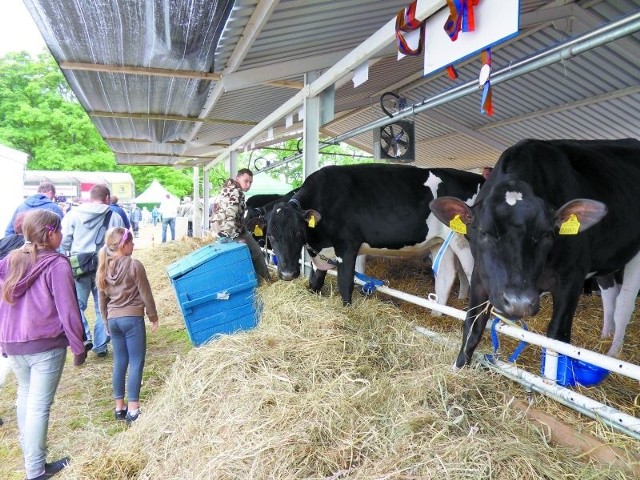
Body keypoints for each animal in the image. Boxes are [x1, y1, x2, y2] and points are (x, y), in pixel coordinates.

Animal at [260, 165, 484, 306]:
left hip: (463, 242)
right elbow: (315, 283)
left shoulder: (347, 246)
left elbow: (345, 284)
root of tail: (478, 177)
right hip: (439, 243)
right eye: (270, 236)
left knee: (471, 274)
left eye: (298, 232)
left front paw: (347, 309)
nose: (287, 274)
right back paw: (436, 313)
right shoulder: (321, 254)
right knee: (446, 276)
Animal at [428, 139, 640, 368]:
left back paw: (613, 352)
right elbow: (472, 325)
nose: (519, 303)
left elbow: (557, 336)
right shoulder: (480, 275)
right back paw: (605, 335)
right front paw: (458, 367)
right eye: (484, 232)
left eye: (547, 234)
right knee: (610, 294)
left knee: (625, 302)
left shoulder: (571, 278)